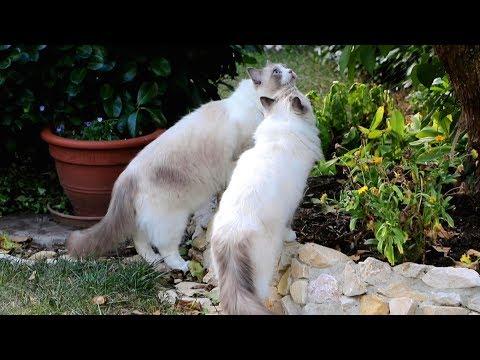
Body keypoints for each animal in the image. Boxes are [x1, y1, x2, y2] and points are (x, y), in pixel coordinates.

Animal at [210, 88, 322, 314]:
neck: (283, 128)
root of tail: (230, 238)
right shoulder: (293, 201)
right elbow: (289, 225)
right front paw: (291, 236)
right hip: (262, 275)